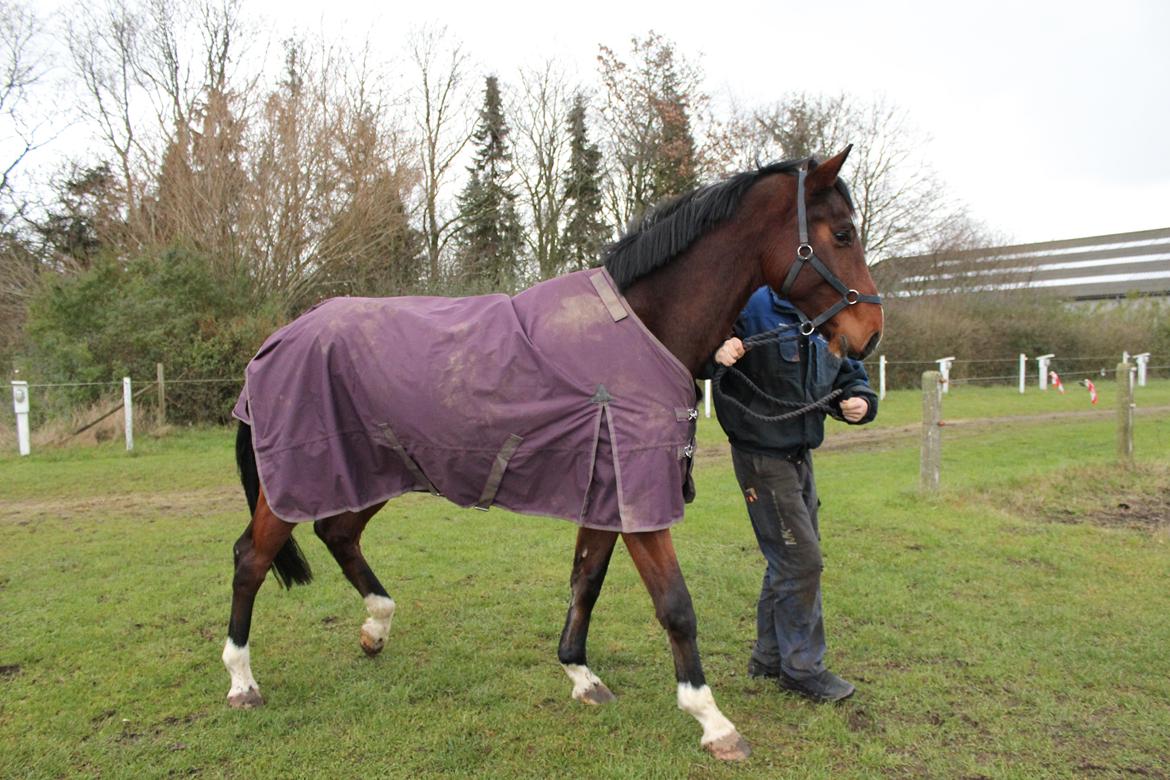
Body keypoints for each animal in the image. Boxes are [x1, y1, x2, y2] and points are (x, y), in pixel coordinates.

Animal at [223, 147, 879, 762]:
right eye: (843, 233)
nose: (869, 334)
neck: (644, 328)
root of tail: (281, 337)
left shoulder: (608, 494)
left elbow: (585, 580)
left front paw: (581, 675)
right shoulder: (641, 499)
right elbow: (675, 606)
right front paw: (713, 722)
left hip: (375, 469)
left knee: (338, 533)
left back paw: (375, 628)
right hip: (298, 480)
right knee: (252, 559)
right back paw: (242, 682)